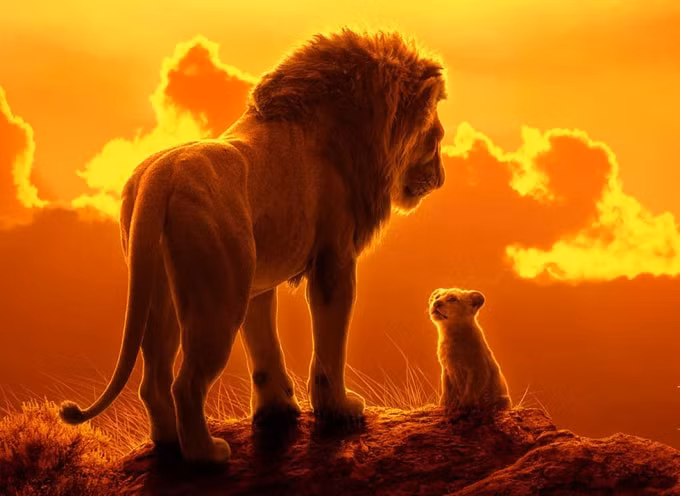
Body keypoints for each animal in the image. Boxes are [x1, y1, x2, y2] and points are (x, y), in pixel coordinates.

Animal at [59, 28, 447, 463]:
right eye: (435, 139)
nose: (441, 179)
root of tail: (160, 177)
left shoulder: (257, 281)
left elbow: (264, 347)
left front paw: (277, 410)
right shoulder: (334, 261)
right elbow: (329, 344)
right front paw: (339, 410)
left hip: (161, 291)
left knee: (154, 379)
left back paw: (169, 444)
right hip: (218, 299)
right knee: (186, 384)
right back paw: (207, 455)